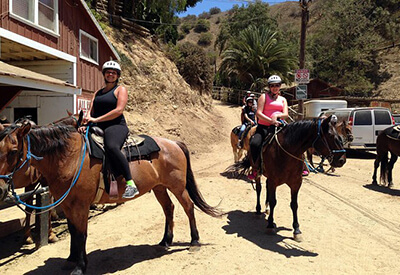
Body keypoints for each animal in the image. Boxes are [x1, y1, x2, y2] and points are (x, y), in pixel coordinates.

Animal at [0, 121, 219, 275]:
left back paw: (194, 241)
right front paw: (71, 258)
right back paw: (166, 240)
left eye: (13, 151)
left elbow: (81, 234)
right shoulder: (69, 204)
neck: (69, 158)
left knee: (188, 207)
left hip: (177, 187)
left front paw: (80, 266)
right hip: (159, 187)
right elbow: (73, 231)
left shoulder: (81, 205)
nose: (1, 188)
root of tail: (174, 143)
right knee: (169, 208)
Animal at [230, 115, 346, 243]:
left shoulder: (296, 183)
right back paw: (259, 210)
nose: (342, 160)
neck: (286, 152)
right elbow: (273, 201)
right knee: (259, 188)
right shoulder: (274, 181)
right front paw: (270, 225)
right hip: (257, 173)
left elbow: (294, 204)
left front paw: (296, 230)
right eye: (330, 135)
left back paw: (267, 208)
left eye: (339, 134)